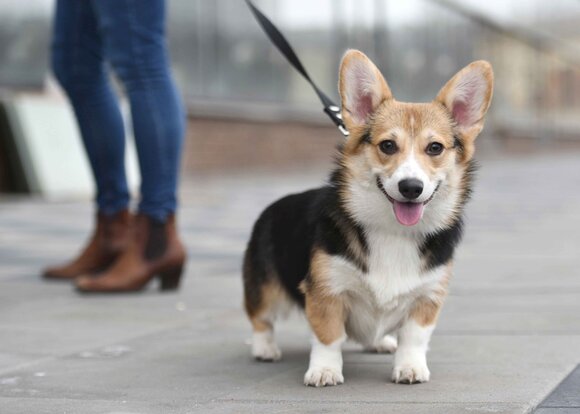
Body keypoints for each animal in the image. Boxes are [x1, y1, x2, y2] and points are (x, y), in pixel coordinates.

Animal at [242, 50, 492, 386]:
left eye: (435, 147)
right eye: (387, 145)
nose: (411, 187)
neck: (392, 230)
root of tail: (273, 206)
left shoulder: (428, 296)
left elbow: (414, 337)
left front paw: (410, 367)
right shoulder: (327, 291)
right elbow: (328, 336)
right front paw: (324, 370)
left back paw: (380, 342)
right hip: (265, 289)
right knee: (260, 319)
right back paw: (265, 349)